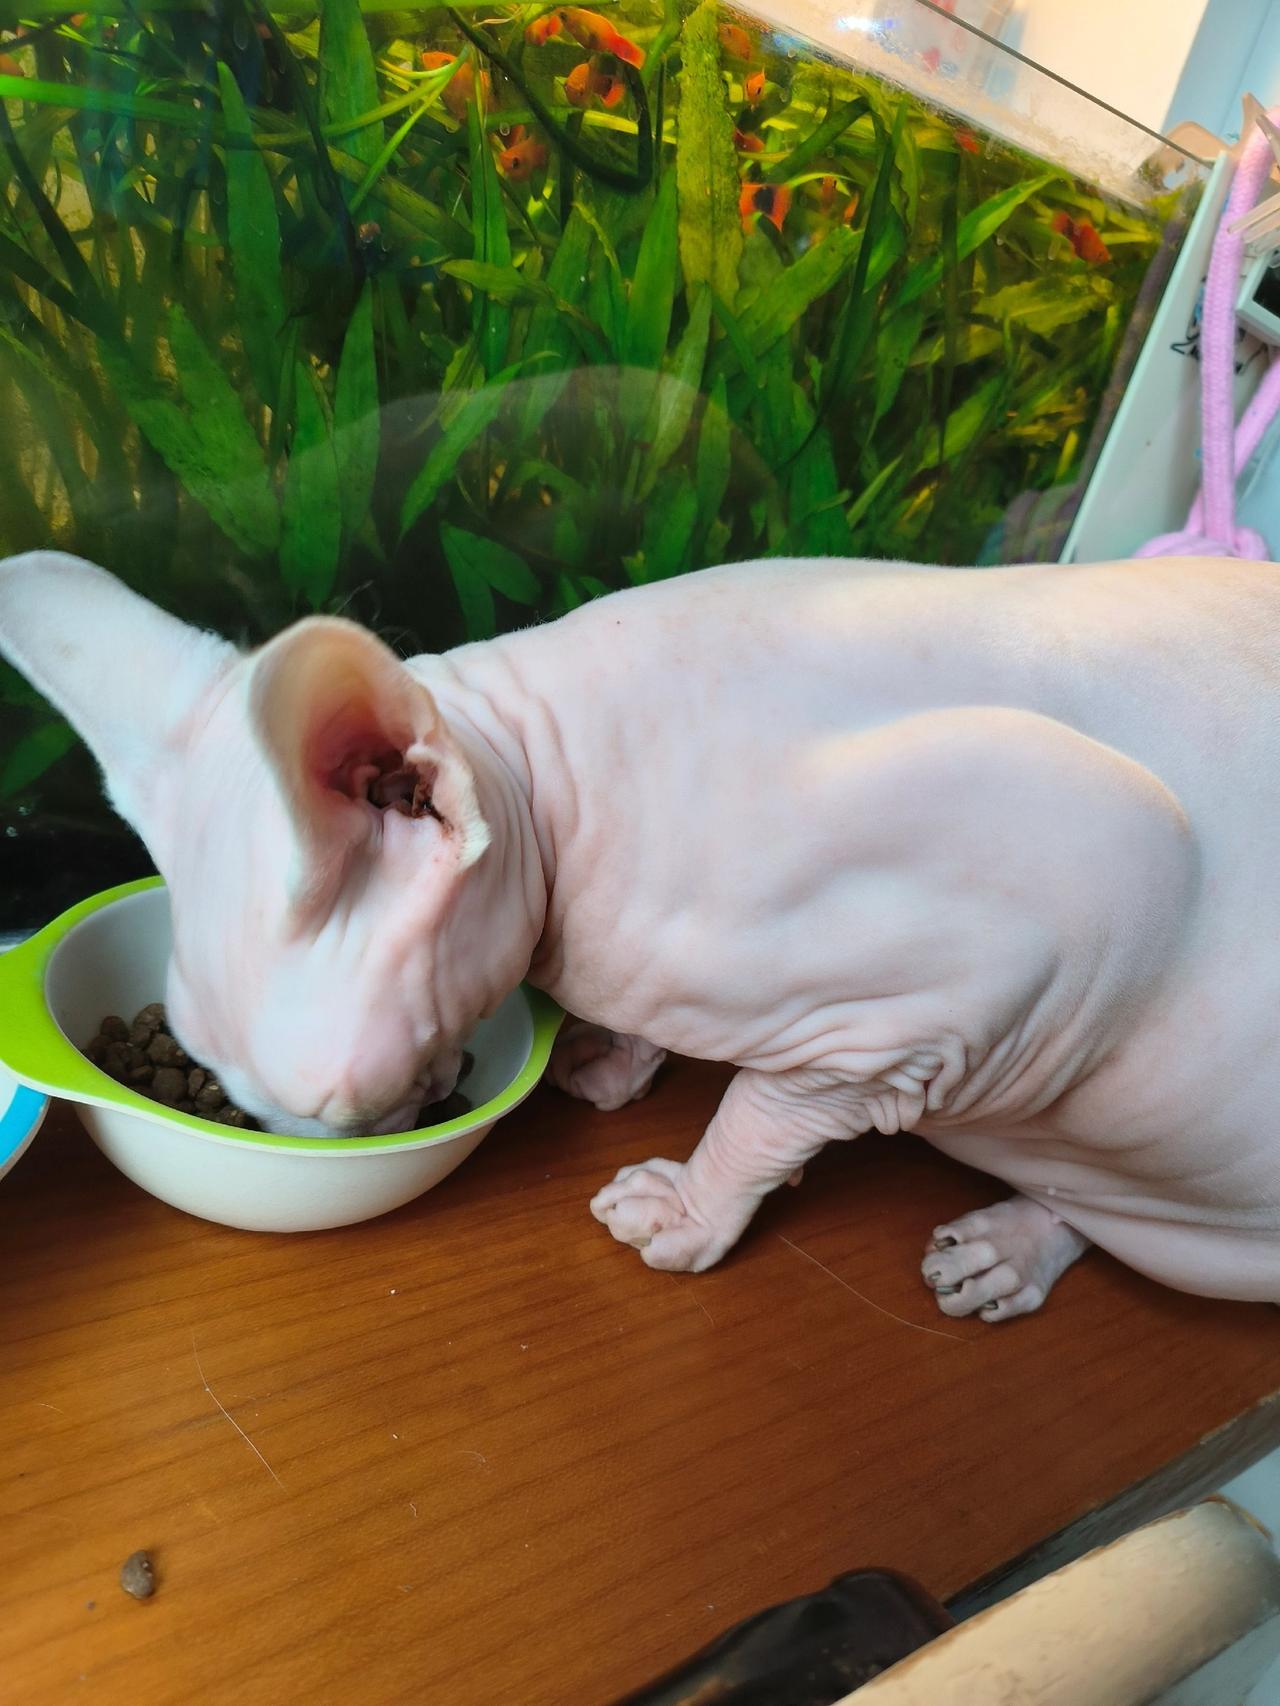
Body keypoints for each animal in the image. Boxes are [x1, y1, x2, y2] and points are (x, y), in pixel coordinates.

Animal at [2, 548, 1278, 1321]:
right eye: (209, 1077)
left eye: (341, 1108)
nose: (320, 1151)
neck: (560, 782)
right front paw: (611, 1055)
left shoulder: (1034, 919)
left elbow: (767, 1108)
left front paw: (689, 1205)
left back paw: (1010, 1251)